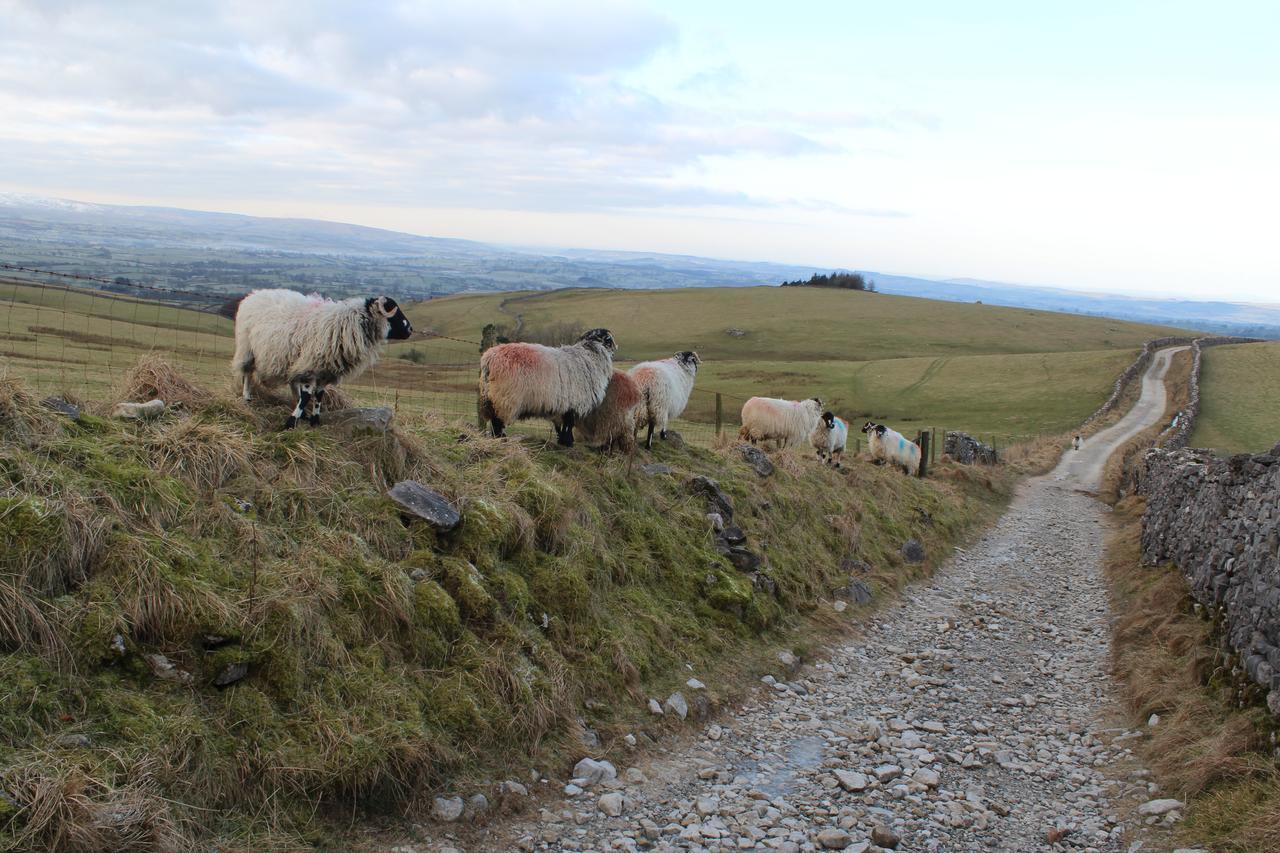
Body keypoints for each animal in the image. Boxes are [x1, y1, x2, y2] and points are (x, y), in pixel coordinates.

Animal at [227, 289, 412, 427]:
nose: (410, 329)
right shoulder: (311, 366)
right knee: (247, 374)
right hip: (247, 349)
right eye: (395, 314)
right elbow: (307, 395)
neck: (349, 323)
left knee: (293, 383)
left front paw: (314, 419)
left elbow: (319, 395)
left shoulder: (325, 370)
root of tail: (253, 295)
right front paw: (291, 422)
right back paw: (247, 397)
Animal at [481, 325, 619, 445]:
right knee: (498, 423)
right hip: (505, 399)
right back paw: (502, 440)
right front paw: (568, 442)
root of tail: (489, 358)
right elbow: (569, 423)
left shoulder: (561, 404)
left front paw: (562, 441)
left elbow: (560, 425)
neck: (590, 356)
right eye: (609, 340)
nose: (615, 350)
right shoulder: (574, 402)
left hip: (491, 398)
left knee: (494, 422)